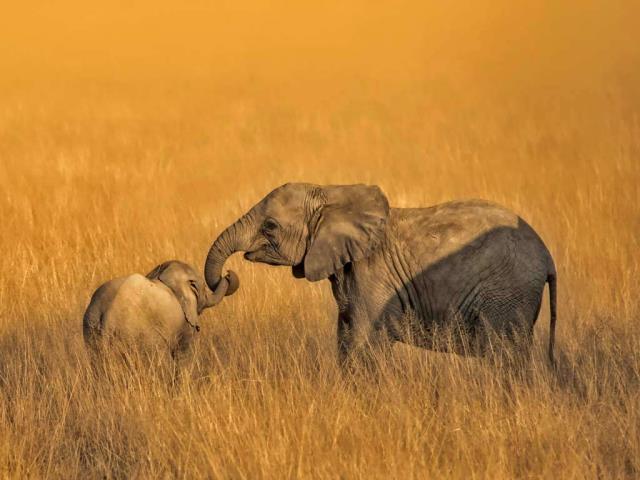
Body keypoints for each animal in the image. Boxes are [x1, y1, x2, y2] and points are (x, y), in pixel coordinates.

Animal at [83, 260, 239, 362]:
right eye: (203, 288)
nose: (228, 273)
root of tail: (109, 315)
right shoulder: (185, 324)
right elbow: (183, 355)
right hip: (134, 335)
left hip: (91, 327)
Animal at [204, 183, 557, 366]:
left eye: (270, 226)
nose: (228, 277)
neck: (330, 194)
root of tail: (547, 256)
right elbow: (345, 338)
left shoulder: (373, 276)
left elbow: (363, 343)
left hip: (507, 294)